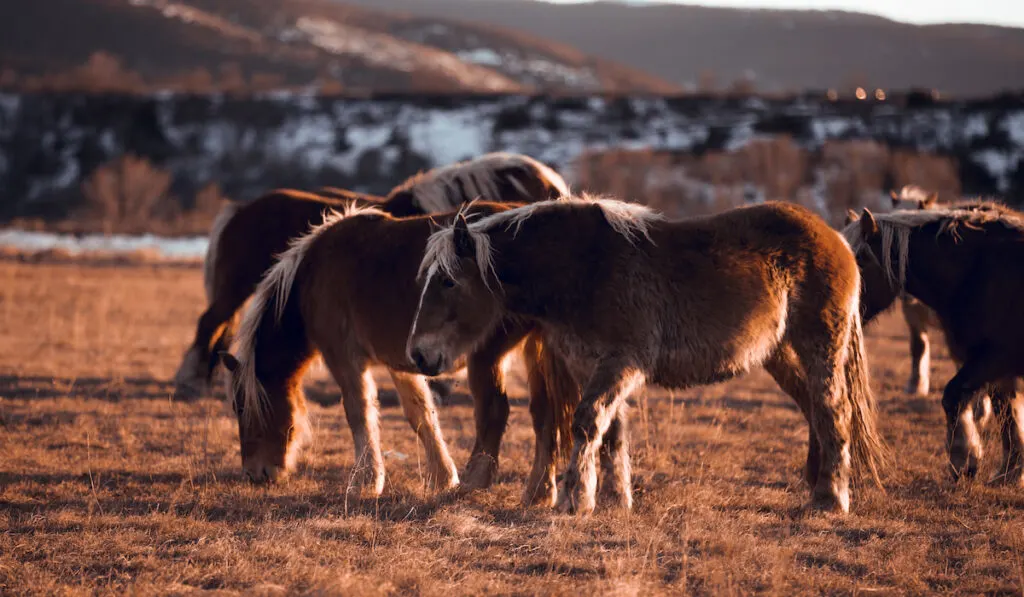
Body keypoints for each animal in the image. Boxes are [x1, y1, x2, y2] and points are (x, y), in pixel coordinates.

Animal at [219, 200, 581, 503]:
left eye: (240, 407)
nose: (255, 473)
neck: (311, 277)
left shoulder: (345, 358)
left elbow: (359, 412)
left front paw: (366, 481)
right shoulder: (402, 361)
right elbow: (420, 413)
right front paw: (441, 476)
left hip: (487, 354)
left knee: (495, 409)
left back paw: (476, 483)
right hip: (536, 349)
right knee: (544, 413)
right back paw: (538, 491)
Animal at [403, 194, 884, 514]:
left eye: (448, 281)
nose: (419, 356)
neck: (584, 268)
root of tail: (836, 239)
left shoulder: (621, 364)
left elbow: (587, 422)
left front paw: (575, 499)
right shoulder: (592, 366)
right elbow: (611, 433)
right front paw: (615, 500)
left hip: (821, 345)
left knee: (833, 411)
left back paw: (830, 498)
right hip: (779, 354)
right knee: (813, 410)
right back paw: (818, 485)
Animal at [843, 202, 1024, 487]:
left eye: (859, 261)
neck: (978, 271)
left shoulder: (995, 357)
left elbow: (954, 396)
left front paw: (964, 460)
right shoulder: (993, 365)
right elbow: (1007, 414)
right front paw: (1010, 472)